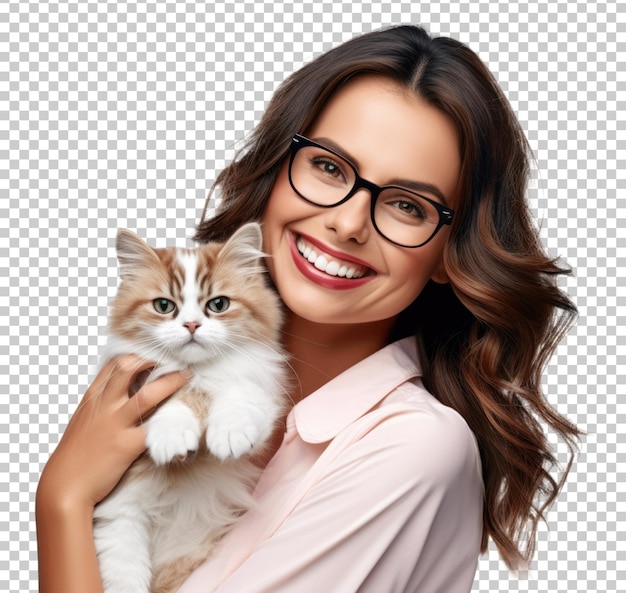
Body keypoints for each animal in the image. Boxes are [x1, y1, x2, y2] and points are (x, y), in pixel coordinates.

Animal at [91, 222, 286, 592]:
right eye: (164, 306)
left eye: (218, 304)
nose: (192, 325)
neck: (198, 374)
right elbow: (174, 400)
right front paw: (172, 438)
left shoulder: (258, 394)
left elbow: (237, 394)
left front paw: (228, 434)